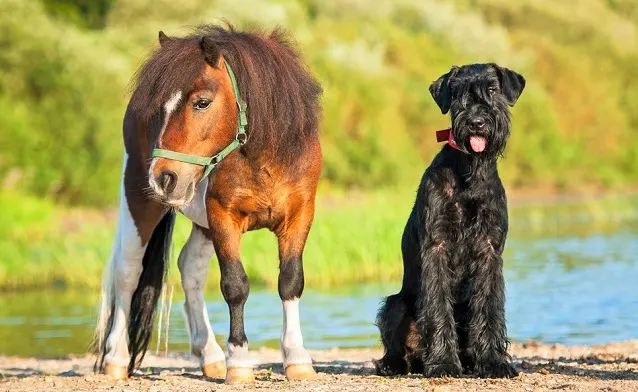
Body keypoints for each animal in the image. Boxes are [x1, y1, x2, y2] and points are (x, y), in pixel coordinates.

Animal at [94, 23, 324, 382]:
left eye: (201, 102)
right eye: (160, 108)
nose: (164, 178)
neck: (264, 159)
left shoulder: (299, 216)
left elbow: (290, 281)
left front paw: (297, 358)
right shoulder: (222, 217)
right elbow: (235, 285)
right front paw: (239, 362)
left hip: (200, 221)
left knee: (190, 269)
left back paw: (210, 354)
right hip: (139, 201)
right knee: (128, 272)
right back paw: (116, 359)